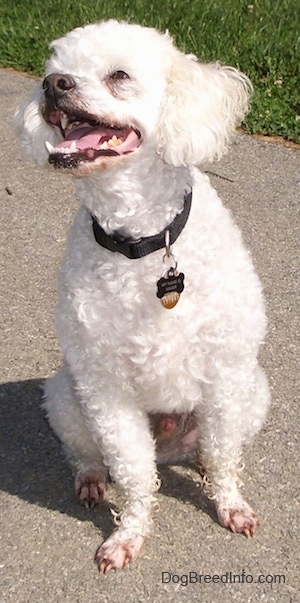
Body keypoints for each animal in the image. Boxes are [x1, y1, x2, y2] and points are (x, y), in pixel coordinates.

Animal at [15, 20, 270, 576]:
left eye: (119, 76)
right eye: (54, 69)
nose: (53, 85)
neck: (142, 243)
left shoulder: (226, 374)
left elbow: (224, 455)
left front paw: (230, 504)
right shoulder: (106, 391)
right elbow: (132, 473)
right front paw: (128, 534)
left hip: (255, 392)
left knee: (215, 447)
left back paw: (200, 466)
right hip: (66, 397)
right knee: (89, 455)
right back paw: (91, 479)